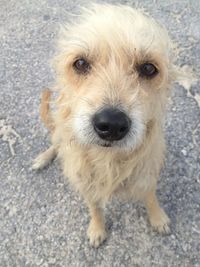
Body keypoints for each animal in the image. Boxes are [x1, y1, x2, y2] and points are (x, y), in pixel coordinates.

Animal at [32, 3, 177, 249]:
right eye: (80, 63)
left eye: (149, 68)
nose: (111, 124)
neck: (109, 159)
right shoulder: (85, 182)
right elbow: (94, 207)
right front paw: (97, 229)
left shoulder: (147, 171)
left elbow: (150, 196)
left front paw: (158, 218)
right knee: (56, 144)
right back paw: (44, 157)